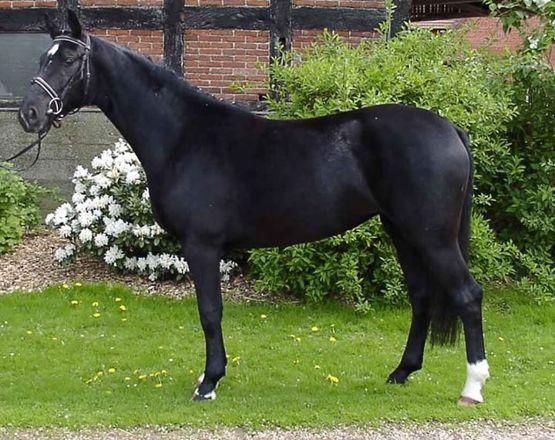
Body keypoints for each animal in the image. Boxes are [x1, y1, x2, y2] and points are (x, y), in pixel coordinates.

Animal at [19, 11, 489, 405]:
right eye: (43, 57)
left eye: (69, 60)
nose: (29, 113)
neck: (184, 137)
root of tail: (449, 128)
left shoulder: (201, 246)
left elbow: (210, 312)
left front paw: (208, 382)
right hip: (402, 231)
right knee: (422, 295)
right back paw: (401, 372)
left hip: (432, 237)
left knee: (467, 295)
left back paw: (472, 387)